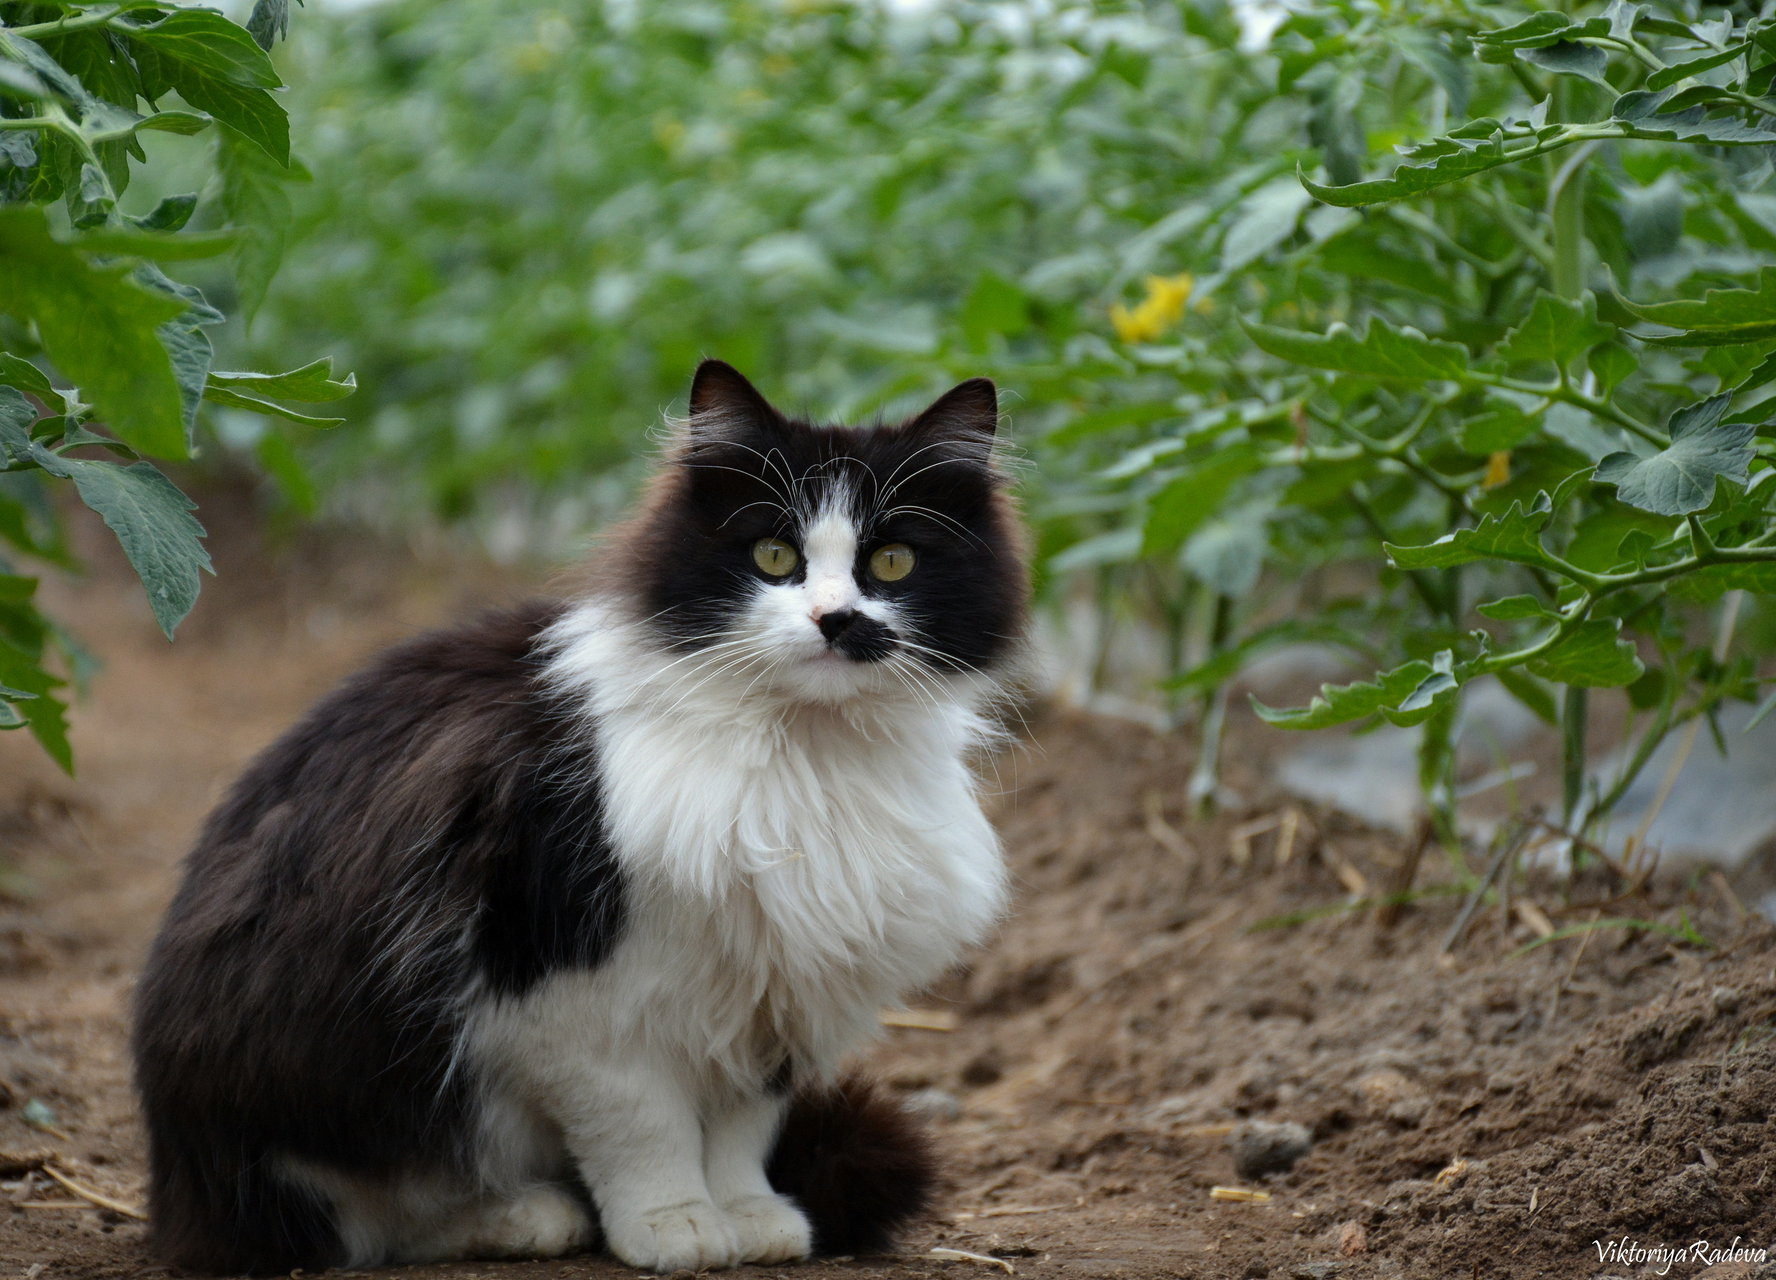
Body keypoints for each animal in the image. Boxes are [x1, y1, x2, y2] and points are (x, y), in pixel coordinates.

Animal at [134, 356, 1030, 1271]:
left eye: (893, 562)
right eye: (774, 554)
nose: (835, 619)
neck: (804, 757)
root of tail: (174, 1185)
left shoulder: (769, 993)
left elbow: (741, 1128)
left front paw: (751, 1217)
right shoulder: (569, 997)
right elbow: (644, 1127)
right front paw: (675, 1226)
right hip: (336, 1084)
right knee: (363, 1221)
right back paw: (527, 1215)